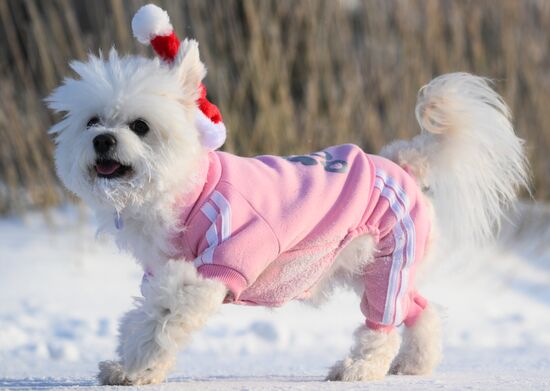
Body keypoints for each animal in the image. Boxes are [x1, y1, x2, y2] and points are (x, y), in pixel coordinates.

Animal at [47, 4, 532, 388]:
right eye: (92, 121)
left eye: (140, 126)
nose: (104, 141)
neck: (188, 192)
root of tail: (404, 162)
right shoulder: (159, 271)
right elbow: (143, 316)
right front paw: (127, 368)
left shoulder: (215, 270)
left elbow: (160, 320)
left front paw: (136, 370)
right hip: (383, 265)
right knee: (420, 310)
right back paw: (415, 364)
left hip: (387, 259)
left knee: (382, 324)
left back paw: (358, 369)